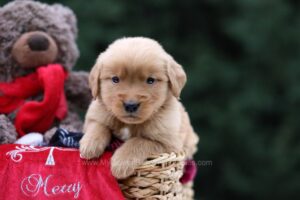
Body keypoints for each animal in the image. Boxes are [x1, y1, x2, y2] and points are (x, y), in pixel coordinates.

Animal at [79, 37, 199, 180]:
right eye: (115, 79)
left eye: (150, 80)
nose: (130, 105)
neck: (129, 125)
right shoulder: (96, 114)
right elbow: (98, 125)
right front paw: (89, 145)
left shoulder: (169, 144)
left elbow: (139, 141)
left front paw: (121, 163)